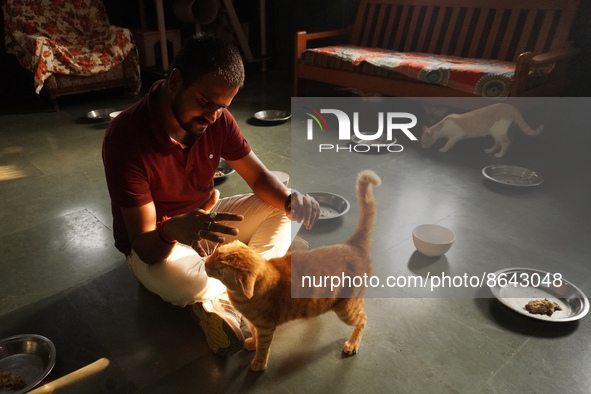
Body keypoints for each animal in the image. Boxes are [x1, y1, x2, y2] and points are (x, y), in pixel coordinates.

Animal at [206, 171, 382, 370]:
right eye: (216, 253)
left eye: (221, 270)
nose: (205, 263)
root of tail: (352, 245)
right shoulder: (254, 323)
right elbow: (254, 333)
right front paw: (252, 342)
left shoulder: (266, 326)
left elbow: (264, 345)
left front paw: (259, 361)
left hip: (347, 308)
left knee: (363, 319)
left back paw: (352, 343)